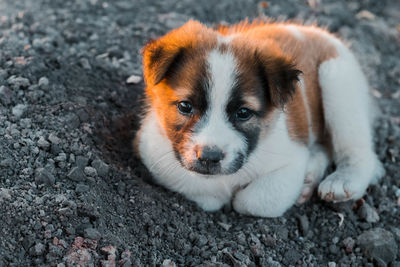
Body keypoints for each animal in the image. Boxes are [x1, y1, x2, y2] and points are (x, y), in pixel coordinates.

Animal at [134, 20, 384, 218]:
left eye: (243, 113)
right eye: (185, 106)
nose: (209, 157)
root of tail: (317, 33)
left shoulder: (290, 160)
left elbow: (252, 201)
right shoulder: (156, 155)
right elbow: (202, 191)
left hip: (338, 82)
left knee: (359, 152)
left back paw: (343, 180)